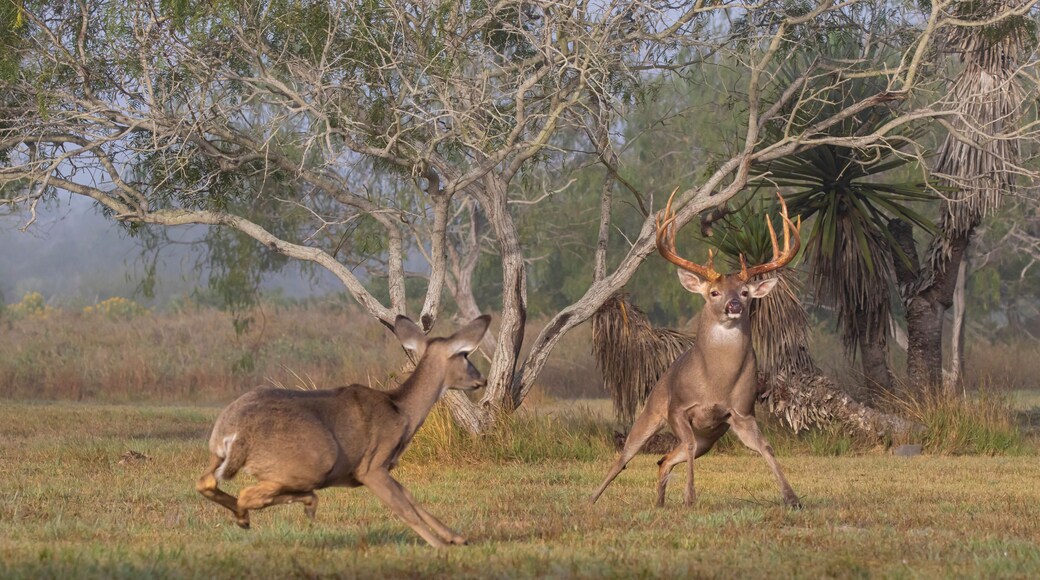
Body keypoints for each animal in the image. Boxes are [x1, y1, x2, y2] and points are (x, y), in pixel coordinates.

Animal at [195, 314, 491, 548]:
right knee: (248, 494)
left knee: (206, 482)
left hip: (216, 452)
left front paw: (456, 537)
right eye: (465, 355)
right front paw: (441, 546)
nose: (483, 379)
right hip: (316, 460)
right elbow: (403, 507)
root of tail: (234, 433)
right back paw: (292, 506)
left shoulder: (384, 466)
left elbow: (410, 497)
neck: (402, 411)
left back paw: (255, 515)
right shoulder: (371, 465)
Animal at [590, 191, 803, 509]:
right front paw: (690, 497)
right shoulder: (679, 409)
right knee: (625, 457)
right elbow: (686, 445)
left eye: (745, 292)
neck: (715, 383)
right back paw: (592, 498)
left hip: (709, 438)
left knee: (665, 460)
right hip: (652, 410)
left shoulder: (741, 414)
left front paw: (792, 497)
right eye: (714, 292)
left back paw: (660, 503)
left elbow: (765, 446)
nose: (734, 305)